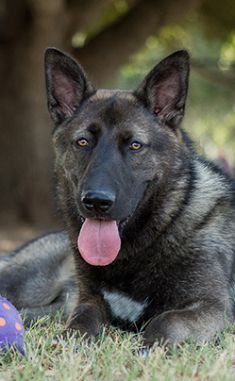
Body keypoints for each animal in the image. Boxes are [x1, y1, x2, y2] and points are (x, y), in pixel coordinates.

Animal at [0, 49, 235, 346]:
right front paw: (71, 342)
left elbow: (166, 321)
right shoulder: (88, 301)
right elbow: (80, 322)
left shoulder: (212, 308)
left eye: (135, 145)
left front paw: (148, 349)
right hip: (25, 284)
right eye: (83, 142)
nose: (97, 202)